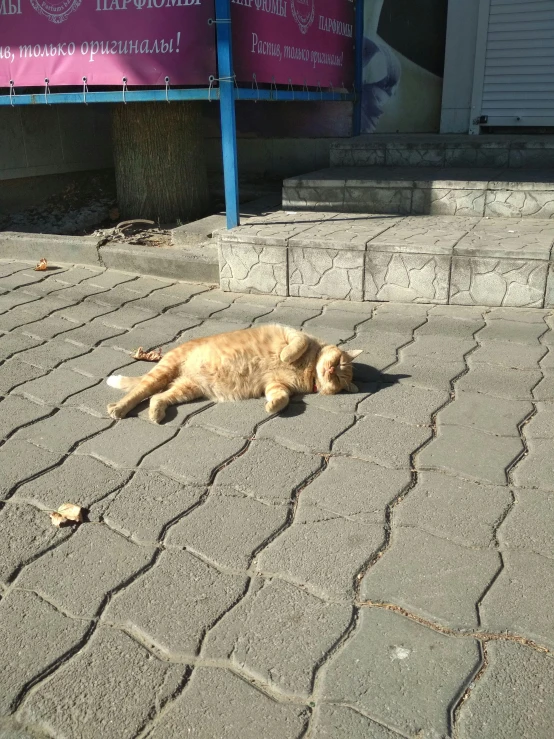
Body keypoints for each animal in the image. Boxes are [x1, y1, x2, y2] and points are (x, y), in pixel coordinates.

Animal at [105, 324, 360, 422]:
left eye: (339, 377)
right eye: (339, 364)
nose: (330, 369)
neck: (309, 370)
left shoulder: (276, 386)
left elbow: (282, 398)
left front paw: (272, 407)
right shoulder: (291, 333)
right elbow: (297, 346)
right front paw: (286, 356)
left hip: (187, 389)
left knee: (157, 397)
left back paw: (155, 414)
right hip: (163, 372)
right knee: (138, 392)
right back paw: (117, 408)